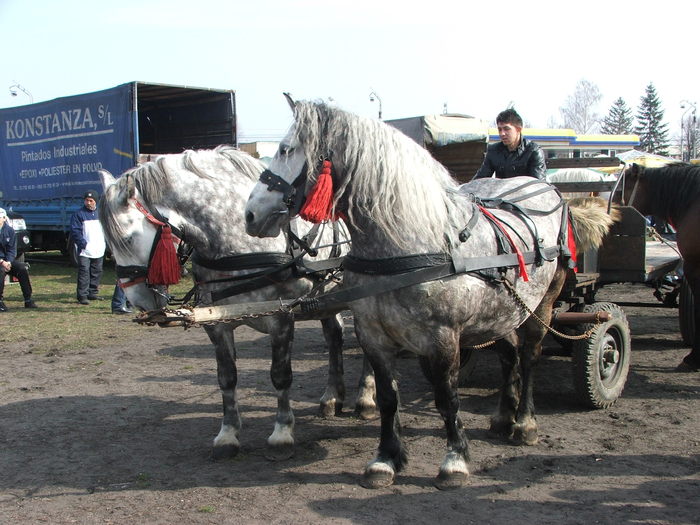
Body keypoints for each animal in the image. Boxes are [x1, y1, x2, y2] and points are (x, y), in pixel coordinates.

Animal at [98, 145, 372, 460]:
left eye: (130, 238)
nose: (138, 301)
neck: (237, 242)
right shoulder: (217, 323)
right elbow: (226, 378)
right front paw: (228, 434)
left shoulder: (281, 317)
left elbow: (280, 376)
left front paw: (282, 432)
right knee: (334, 337)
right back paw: (332, 397)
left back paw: (366, 399)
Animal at [245, 100, 612, 490]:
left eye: (286, 150)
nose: (250, 214)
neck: (412, 244)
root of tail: (548, 190)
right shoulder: (373, 335)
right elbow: (388, 397)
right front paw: (386, 459)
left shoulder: (443, 338)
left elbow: (446, 398)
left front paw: (455, 461)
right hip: (501, 311)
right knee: (508, 354)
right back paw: (502, 416)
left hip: (542, 303)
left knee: (529, 356)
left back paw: (525, 423)